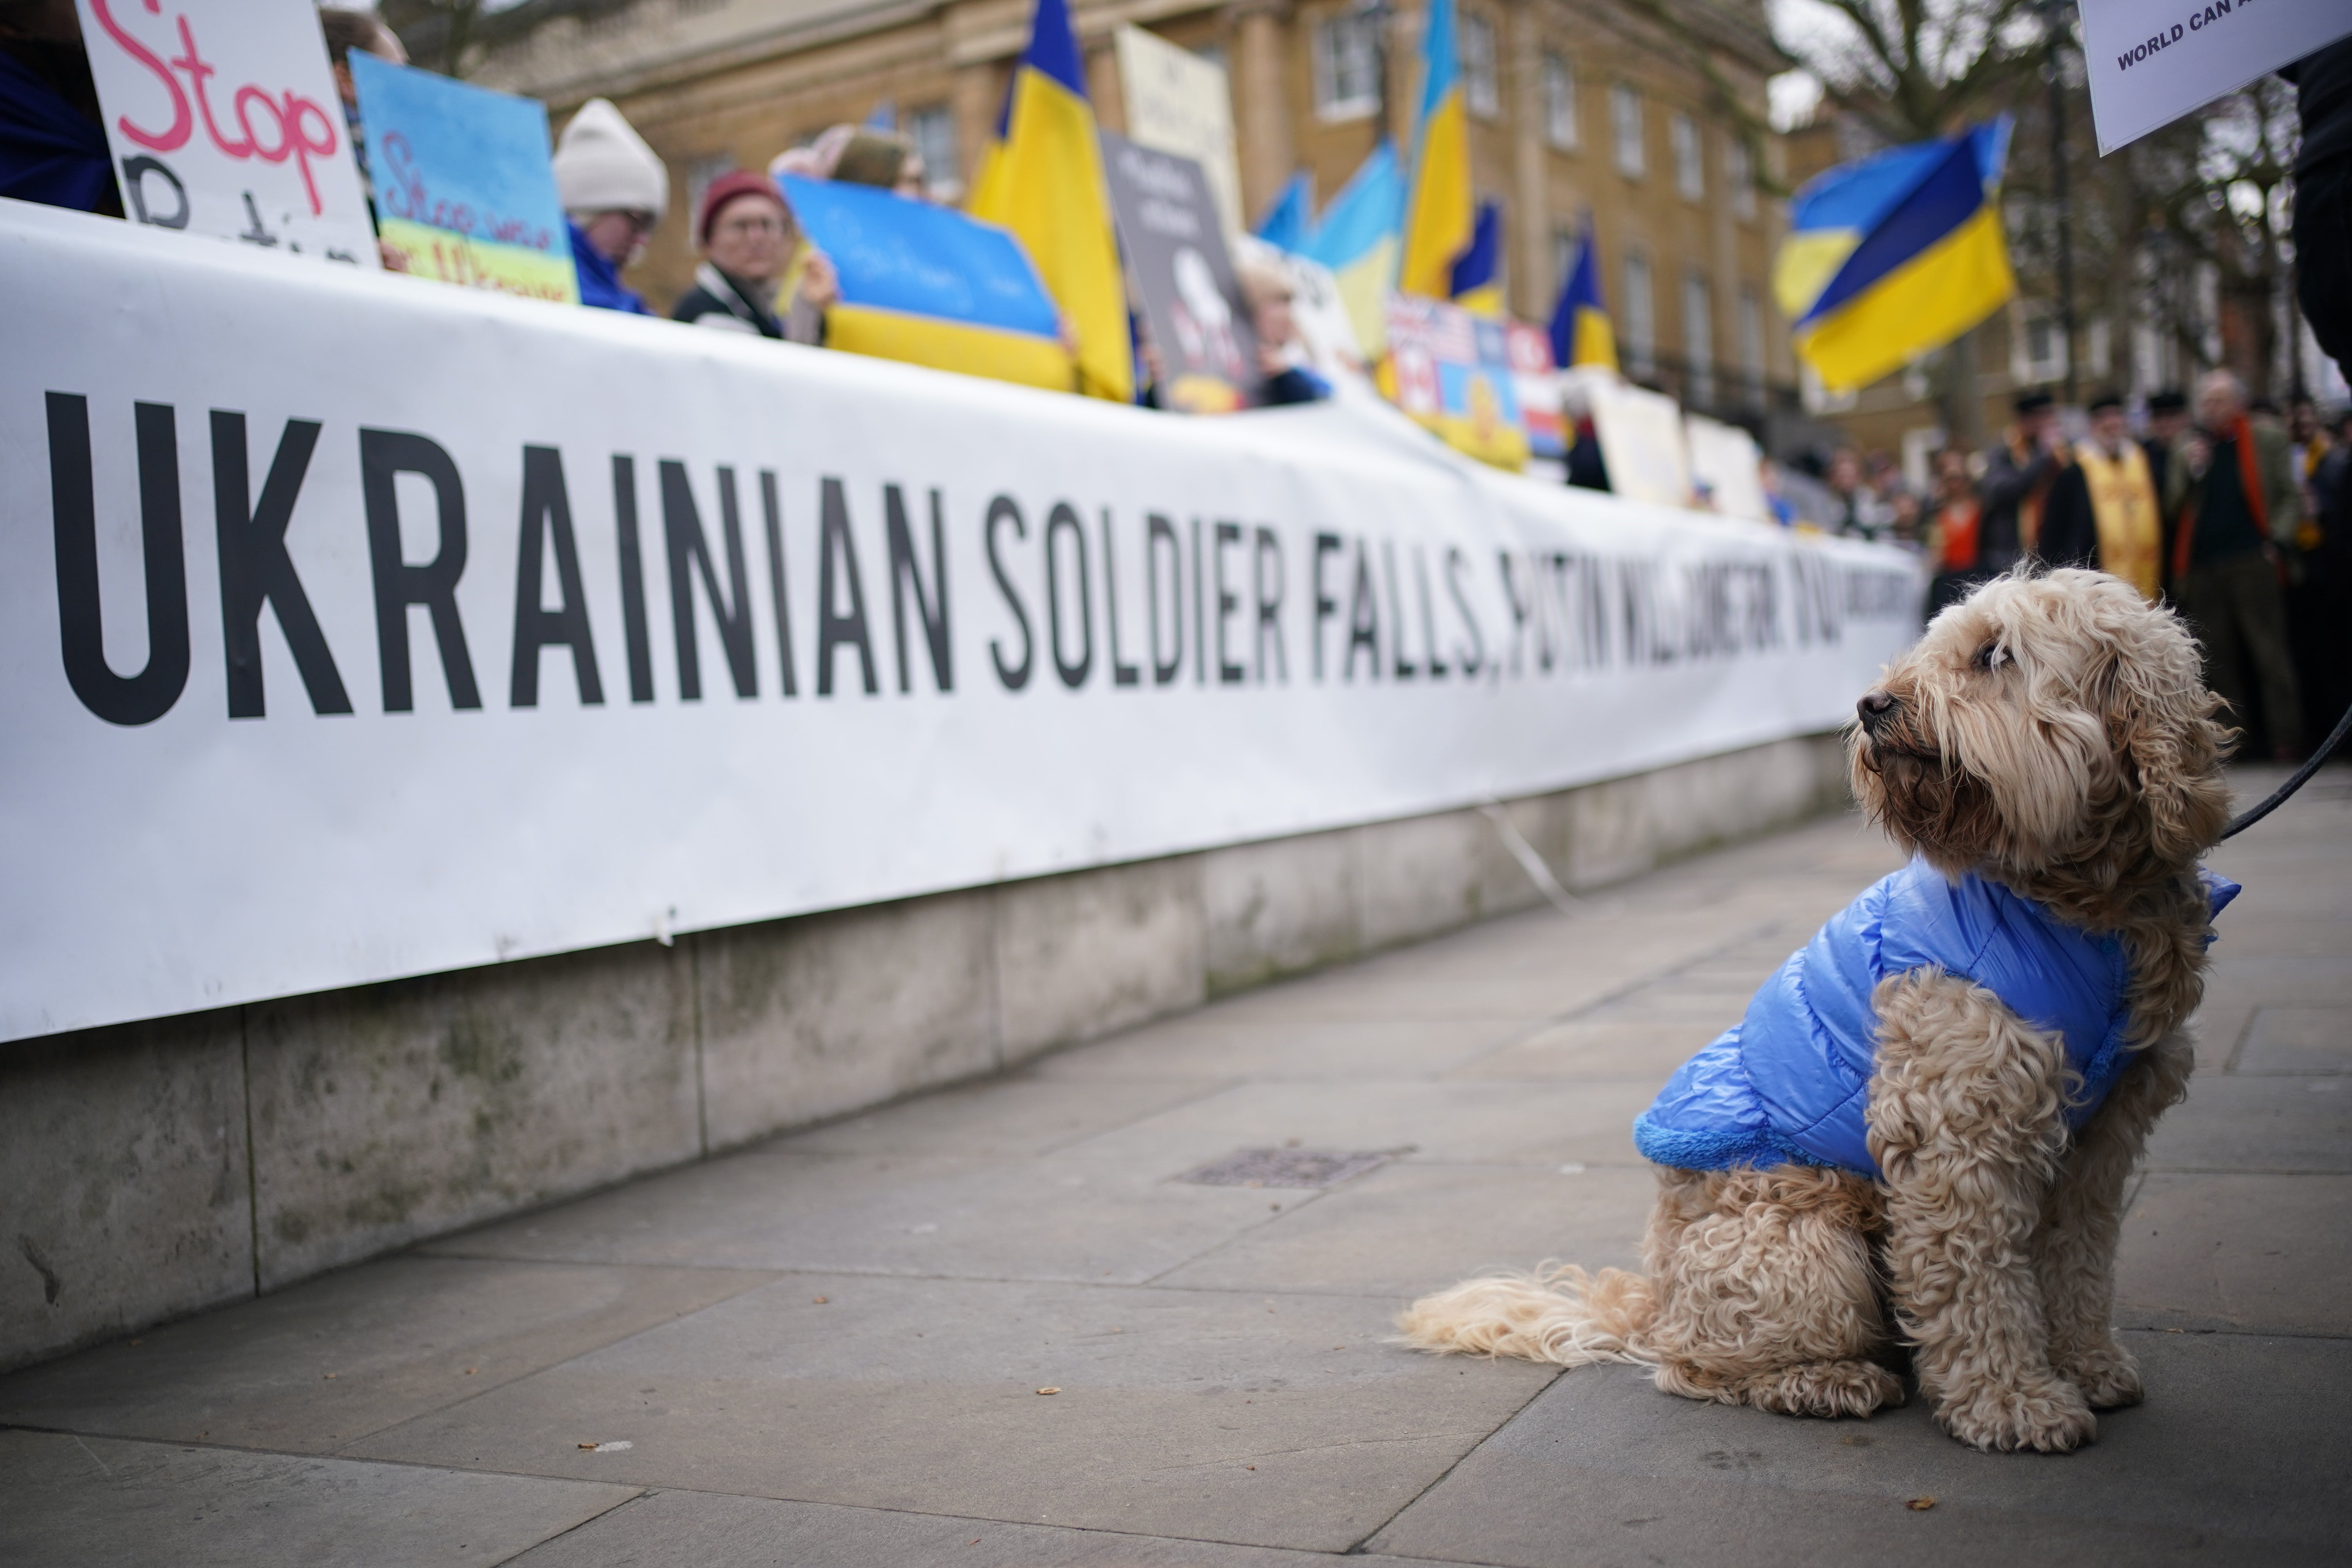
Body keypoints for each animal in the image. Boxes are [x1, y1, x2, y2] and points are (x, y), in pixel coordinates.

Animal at [1402, 571, 2230, 1457]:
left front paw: (2086, 1364)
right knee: (1694, 1365)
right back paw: (1826, 1381)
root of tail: (1653, 1295)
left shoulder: (2102, 1137)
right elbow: (1979, 1287)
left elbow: (2077, 1262)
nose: (1872, 704)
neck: (2080, 905)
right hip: (1804, 1248)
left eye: (1994, 656)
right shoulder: (1955, 1139)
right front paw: (2012, 1402)